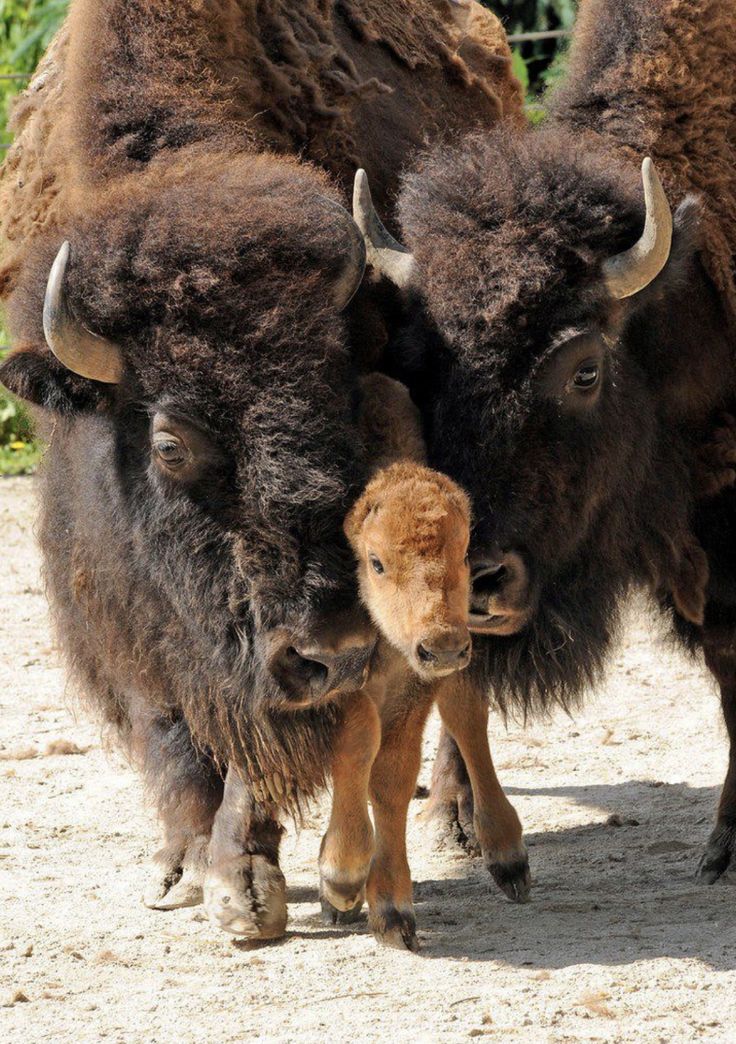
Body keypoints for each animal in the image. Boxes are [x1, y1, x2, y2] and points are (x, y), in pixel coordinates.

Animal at [0, 0, 521, 947]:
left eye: (340, 396)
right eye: (170, 442)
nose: (333, 651)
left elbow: (271, 740)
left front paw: (244, 887)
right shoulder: (118, 605)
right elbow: (172, 728)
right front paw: (182, 866)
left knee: (455, 677)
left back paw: (463, 823)